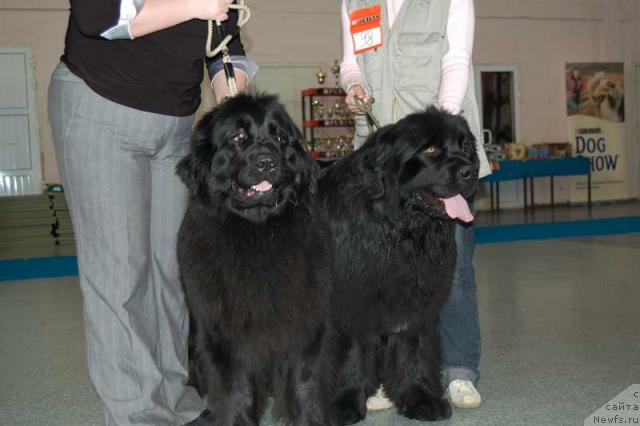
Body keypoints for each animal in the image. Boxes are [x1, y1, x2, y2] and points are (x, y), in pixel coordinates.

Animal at [176, 94, 332, 426]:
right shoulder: (226, 335)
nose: (266, 162)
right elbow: (238, 392)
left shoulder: (304, 326)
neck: (259, 235)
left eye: (279, 137)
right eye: (238, 137)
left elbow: (304, 385)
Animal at [318, 106, 478, 422]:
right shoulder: (349, 301)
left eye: (465, 147)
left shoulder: (415, 297)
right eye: (430, 149)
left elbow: (412, 350)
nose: (470, 171)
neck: (397, 230)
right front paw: (344, 403)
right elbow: (350, 353)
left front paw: (420, 398)